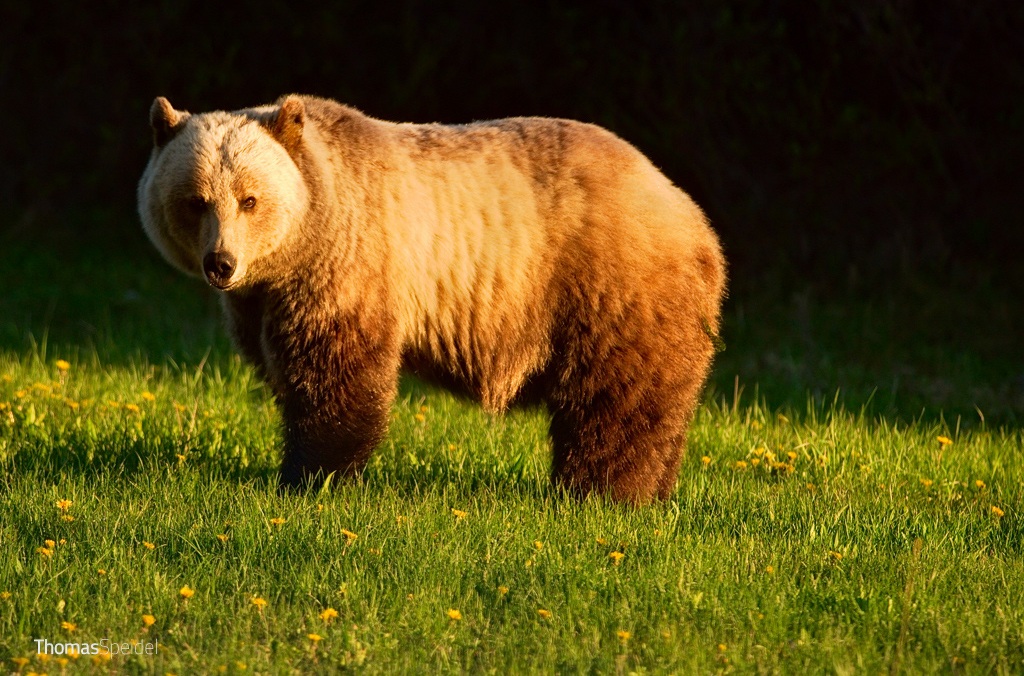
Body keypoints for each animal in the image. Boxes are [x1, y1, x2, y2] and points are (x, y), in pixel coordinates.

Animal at [138, 94, 726, 504]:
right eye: (196, 201)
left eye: (249, 199)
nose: (221, 263)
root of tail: (689, 211)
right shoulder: (263, 300)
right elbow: (283, 368)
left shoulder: (353, 262)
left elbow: (337, 379)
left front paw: (312, 476)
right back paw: (652, 491)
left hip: (609, 285)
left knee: (616, 399)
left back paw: (601, 493)